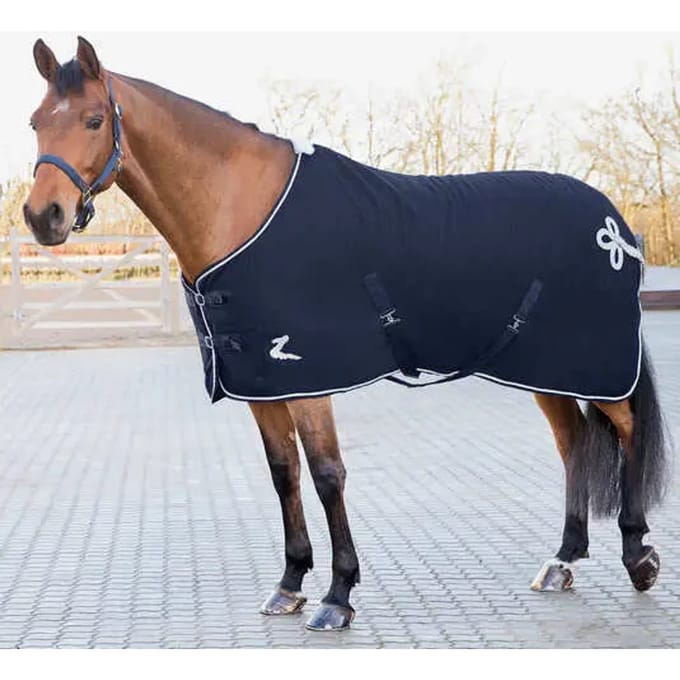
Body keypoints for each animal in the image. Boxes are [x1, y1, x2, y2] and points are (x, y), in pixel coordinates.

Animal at [23, 36, 669, 632]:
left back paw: (638, 554)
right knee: (573, 443)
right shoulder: (262, 383)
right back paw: (563, 560)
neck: (244, 208)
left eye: (94, 119)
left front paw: (338, 594)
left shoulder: (308, 378)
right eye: (35, 122)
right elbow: (283, 473)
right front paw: (289, 583)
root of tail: (616, 224)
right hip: (544, 368)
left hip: (597, 362)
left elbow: (327, 474)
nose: (42, 217)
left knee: (628, 427)